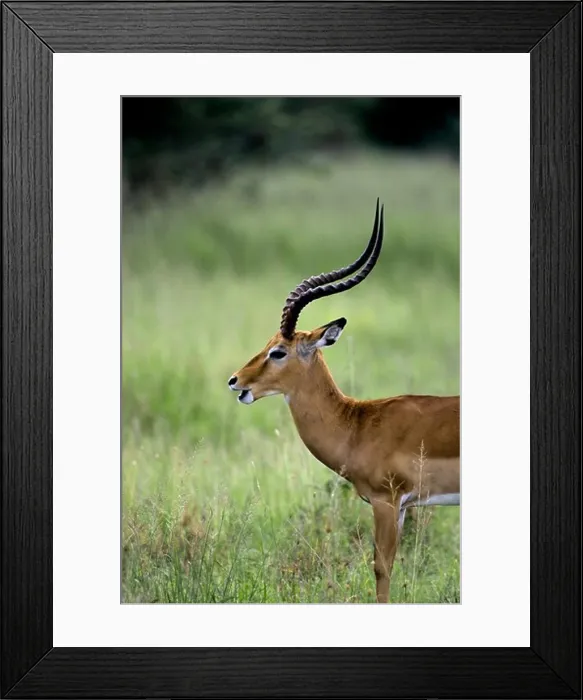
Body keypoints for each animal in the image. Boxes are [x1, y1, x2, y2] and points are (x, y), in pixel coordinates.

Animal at [228, 201, 460, 603]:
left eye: (278, 351)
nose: (235, 381)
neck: (358, 424)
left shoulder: (386, 502)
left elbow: (382, 569)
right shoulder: (400, 508)